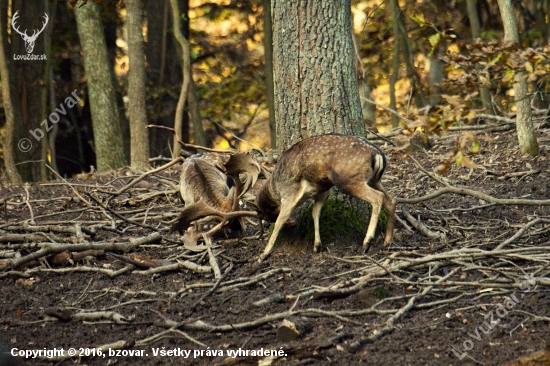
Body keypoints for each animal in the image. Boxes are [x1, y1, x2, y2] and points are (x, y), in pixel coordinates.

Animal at [254, 134, 396, 264]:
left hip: (348, 180)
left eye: (266, 216)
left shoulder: (290, 194)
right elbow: (315, 213)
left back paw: (367, 242)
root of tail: (378, 155)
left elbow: (279, 222)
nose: (293, 223)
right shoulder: (321, 189)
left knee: (378, 197)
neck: (276, 188)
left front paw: (263, 255)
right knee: (391, 200)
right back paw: (387, 242)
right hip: (373, 180)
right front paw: (317, 245)